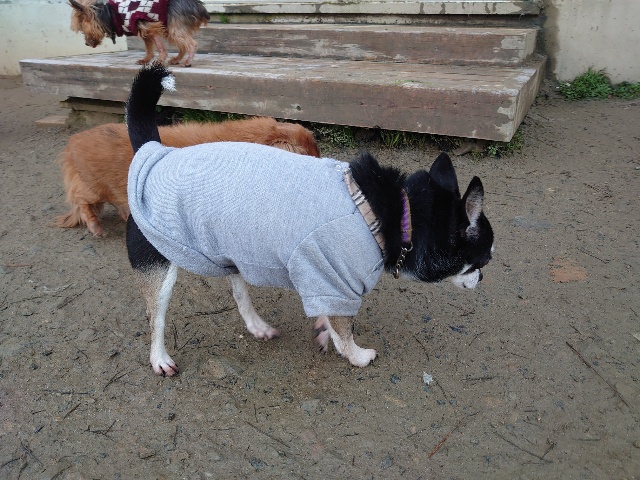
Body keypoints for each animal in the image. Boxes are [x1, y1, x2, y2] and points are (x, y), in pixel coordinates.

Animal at [69, 0, 210, 66]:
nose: (86, 44)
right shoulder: (145, 29)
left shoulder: (147, 24)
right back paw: (176, 59)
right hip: (170, 26)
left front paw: (160, 59)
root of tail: (199, 6)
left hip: (174, 26)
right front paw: (146, 59)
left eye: (82, 30)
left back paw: (187, 61)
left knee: (191, 44)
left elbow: (160, 47)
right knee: (183, 45)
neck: (109, 14)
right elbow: (149, 46)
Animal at [125, 64, 494, 376]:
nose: (481, 280)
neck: (398, 213)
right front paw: (358, 356)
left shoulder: (323, 282)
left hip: (226, 251)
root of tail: (155, 152)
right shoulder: (337, 283)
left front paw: (323, 331)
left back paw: (257, 325)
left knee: (238, 291)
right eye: (484, 260)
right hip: (158, 264)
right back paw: (159, 358)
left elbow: (328, 319)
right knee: (154, 317)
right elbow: (345, 331)